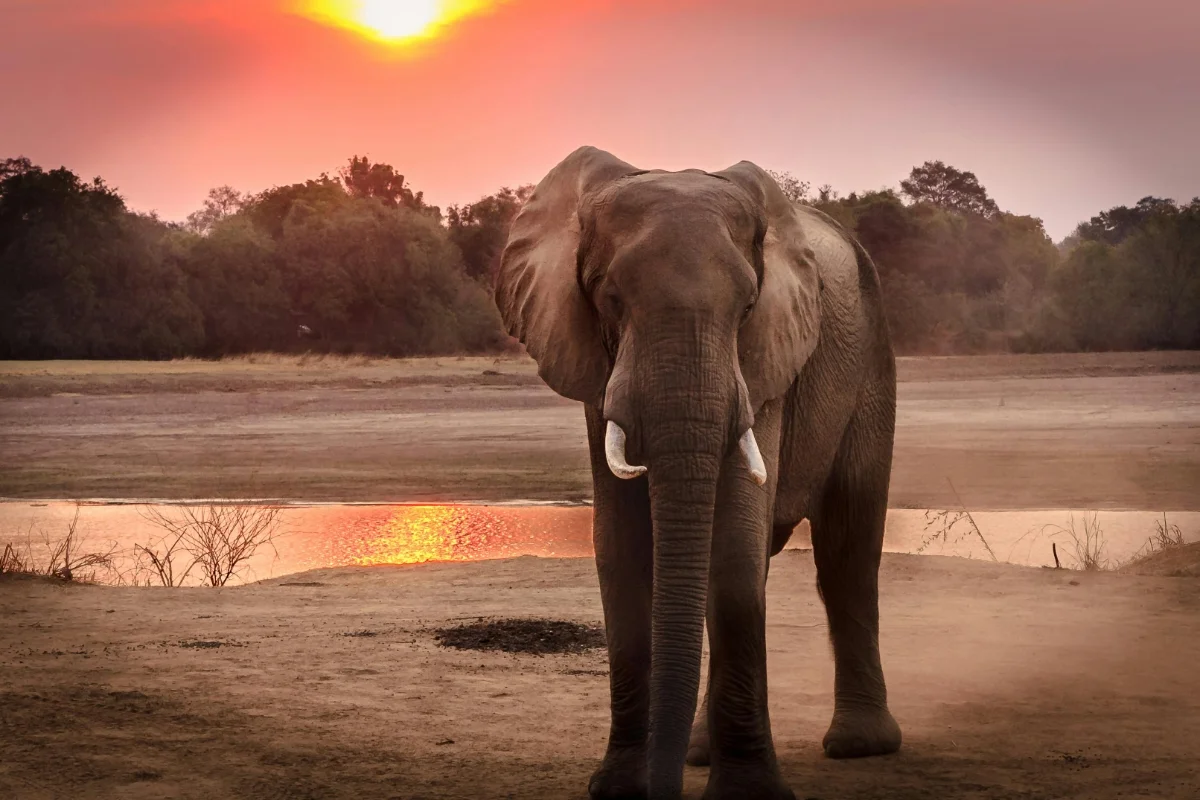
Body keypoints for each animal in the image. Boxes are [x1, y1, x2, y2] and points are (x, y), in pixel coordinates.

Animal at [494, 146, 901, 800]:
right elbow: (621, 547)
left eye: (748, 307)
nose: (661, 789)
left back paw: (859, 746)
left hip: (871, 360)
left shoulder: (765, 361)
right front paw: (619, 788)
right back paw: (700, 753)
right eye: (609, 299)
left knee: (848, 549)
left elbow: (733, 545)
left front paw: (748, 795)